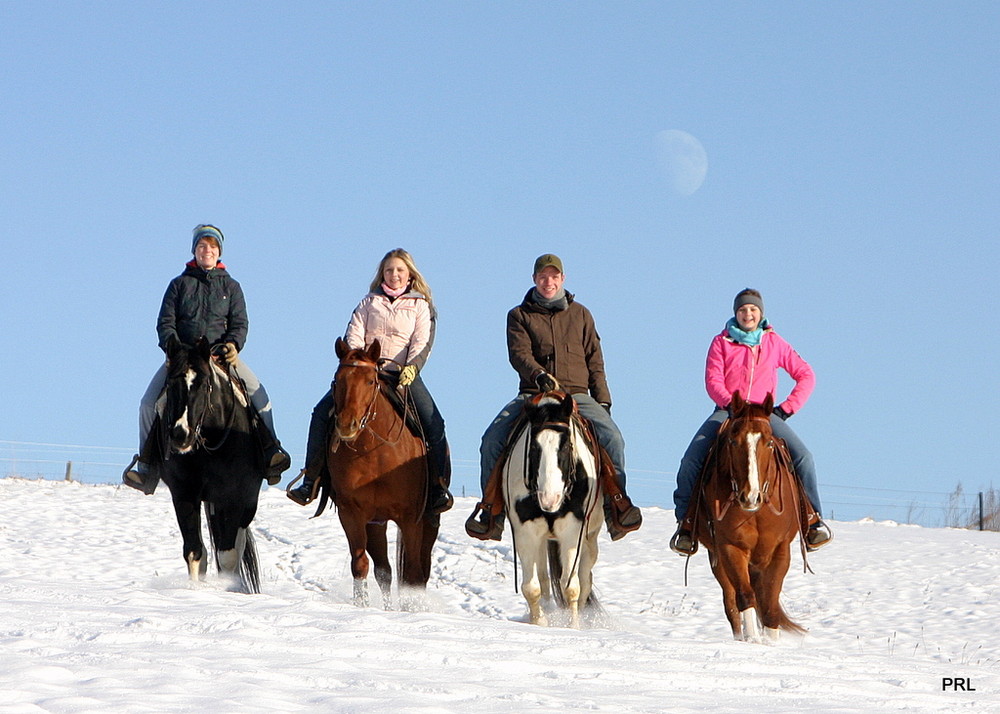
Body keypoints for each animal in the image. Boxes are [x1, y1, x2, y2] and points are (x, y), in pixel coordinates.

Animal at [157, 336, 264, 592]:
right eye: (170, 384)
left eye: (204, 384)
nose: (180, 434)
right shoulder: (184, 494)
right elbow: (194, 551)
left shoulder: (233, 497)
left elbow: (228, 555)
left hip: (246, 504)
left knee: (238, 543)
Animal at [314, 336, 436, 604]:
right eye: (337, 379)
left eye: (370, 381)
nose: (346, 425)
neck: (376, 455)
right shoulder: (351, 513)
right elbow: (361, 565)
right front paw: (362, 605)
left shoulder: (410, 517)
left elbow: (412, 573)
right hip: (376, 523)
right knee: (384, 571)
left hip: (428, 522)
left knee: (418, 572)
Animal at [500, 390, 600, 628]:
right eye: (534, 448)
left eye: (565, 445)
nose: (549, 499)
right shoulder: (526, 532)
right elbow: (531, 587)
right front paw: (540, 623)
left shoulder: (572, 532)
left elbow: (571, 587)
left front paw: (573, 626)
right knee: (544, 581)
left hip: (590, 538)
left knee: (585, 580)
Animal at [692, 390, 808, 640]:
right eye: (733, 441)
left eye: (769, 442)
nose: (750, 496)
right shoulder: (730, 548)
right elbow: (745, 597)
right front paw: (753, 641)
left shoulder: (780, 550)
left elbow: (770, 604)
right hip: (718, 559)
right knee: (732, 602)